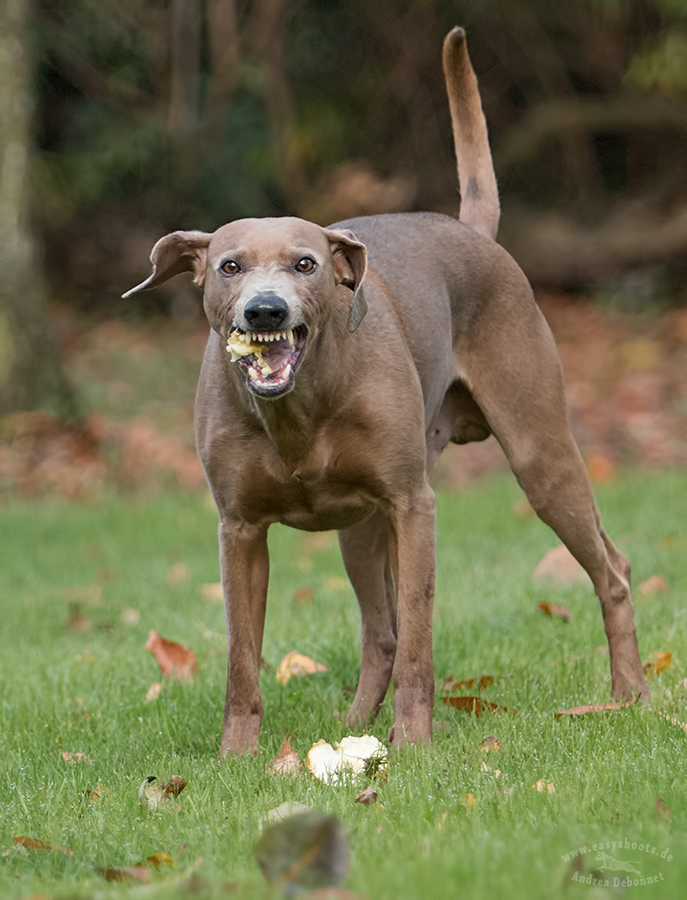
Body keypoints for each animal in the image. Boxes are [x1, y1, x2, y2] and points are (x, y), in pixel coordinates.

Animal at [126, 28, 648, 752]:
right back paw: (352, 725)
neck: (300, 408)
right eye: (229, 267)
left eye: (305, 264)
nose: (264, 310)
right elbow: (241, 660)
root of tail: (471, 232)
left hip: (540, 459)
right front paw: (237, 756)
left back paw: (628, 695)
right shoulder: (240, 531)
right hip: (360, 532)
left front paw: (415, 744)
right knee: (380, 634)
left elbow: (420, 643)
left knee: (611, 571)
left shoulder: (412, 506)